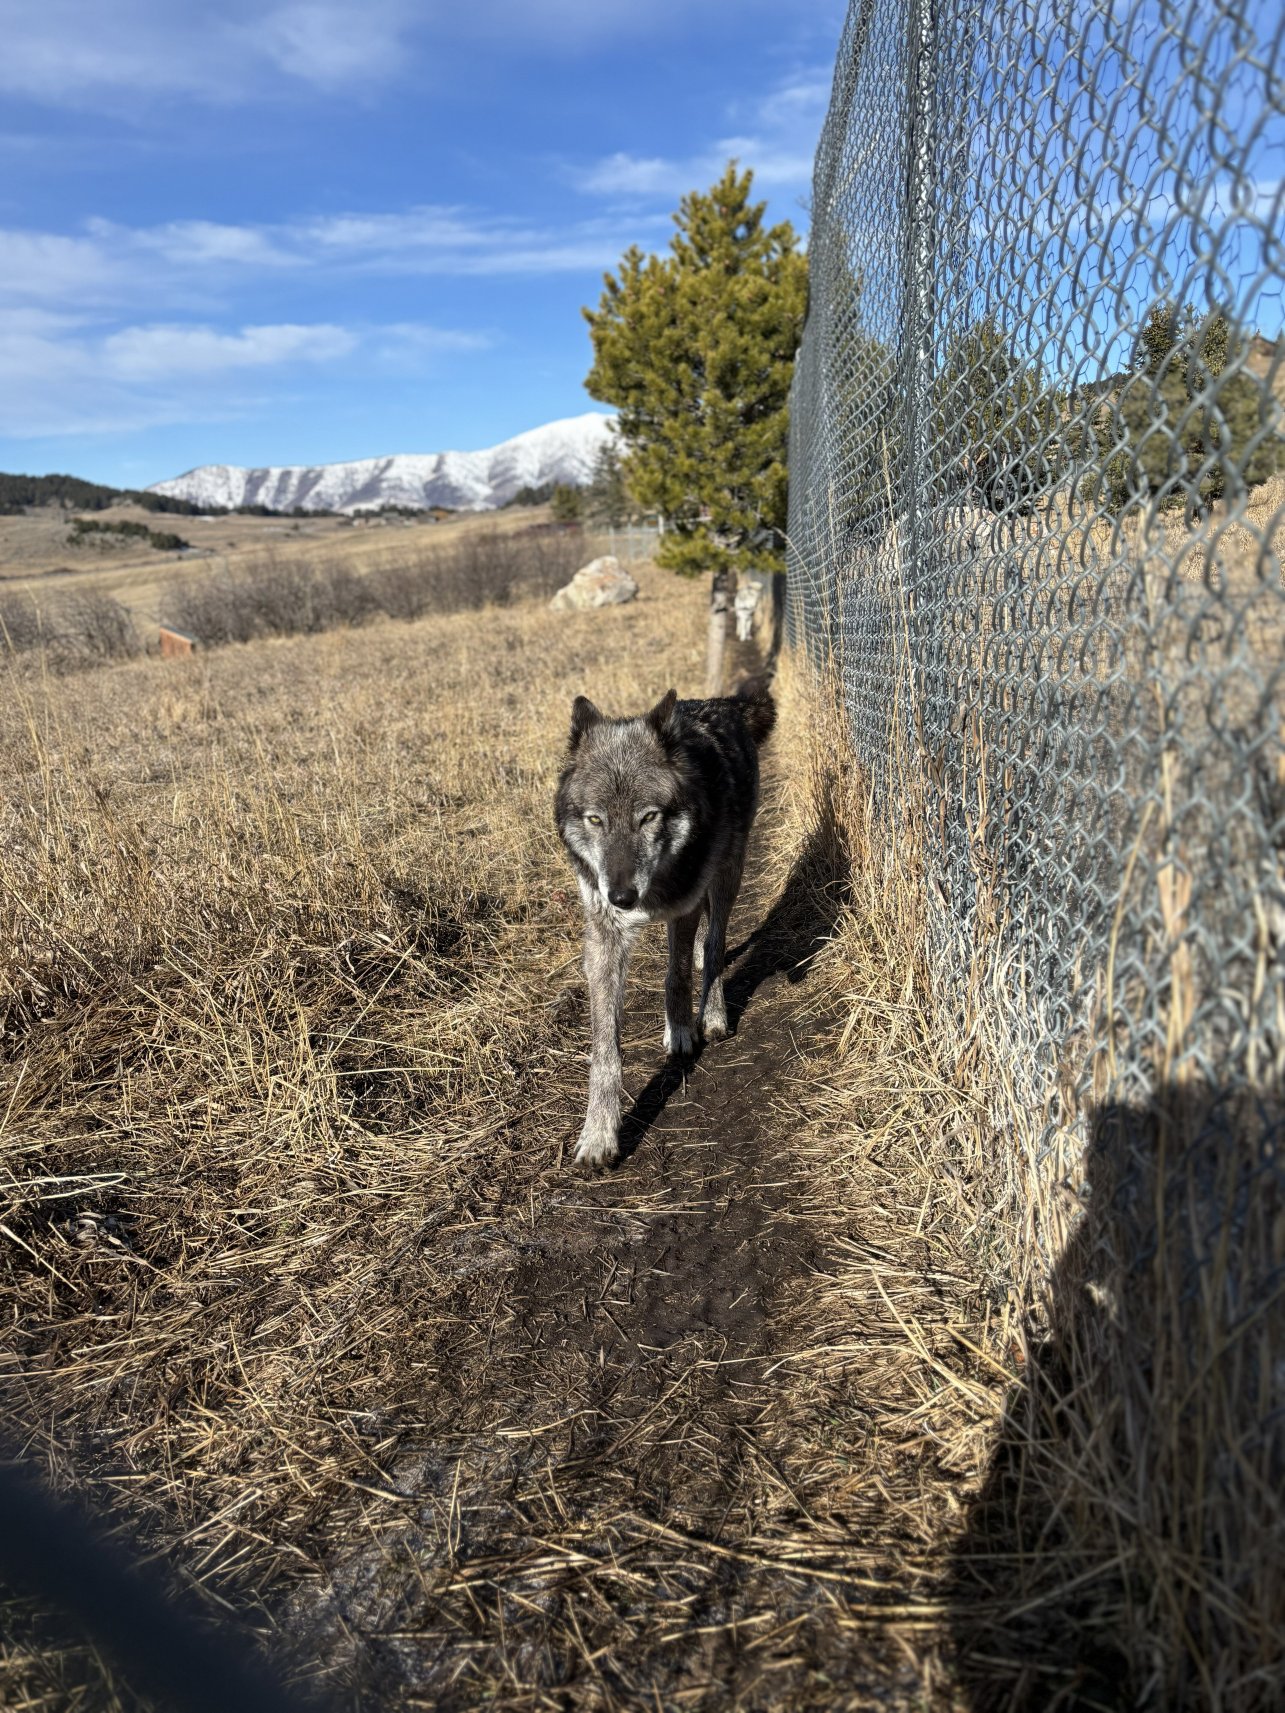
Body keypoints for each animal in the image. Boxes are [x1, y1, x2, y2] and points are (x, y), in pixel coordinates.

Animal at [554, 677, 776, 1168]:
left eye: (648, 816)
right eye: (595, 819)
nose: (621, 897)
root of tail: (721, 702)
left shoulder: (684, 906)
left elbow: (676, 977)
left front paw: (681, 1031)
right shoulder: (603, 933)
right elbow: (605, 1048)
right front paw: (599, 1134)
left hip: (728, 873)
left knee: (715, 943)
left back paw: (712, 1013)